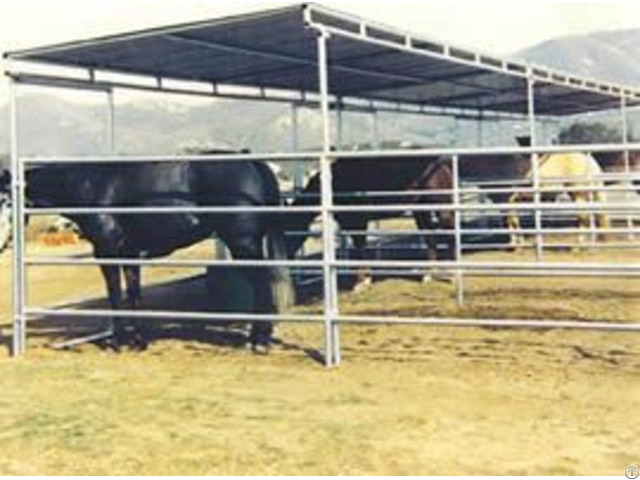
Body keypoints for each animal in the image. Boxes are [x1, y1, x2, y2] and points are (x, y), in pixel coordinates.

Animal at [0, 155, 294, 352]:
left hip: (243, 243)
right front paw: (138, 341)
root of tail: (253, 163)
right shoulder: (130, 254)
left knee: (262, 282)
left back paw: (259, 340)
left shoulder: (107, 252)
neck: (89, 186)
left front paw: (117, 342)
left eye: (4, 200)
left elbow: (115, 295)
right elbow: (133, 295)